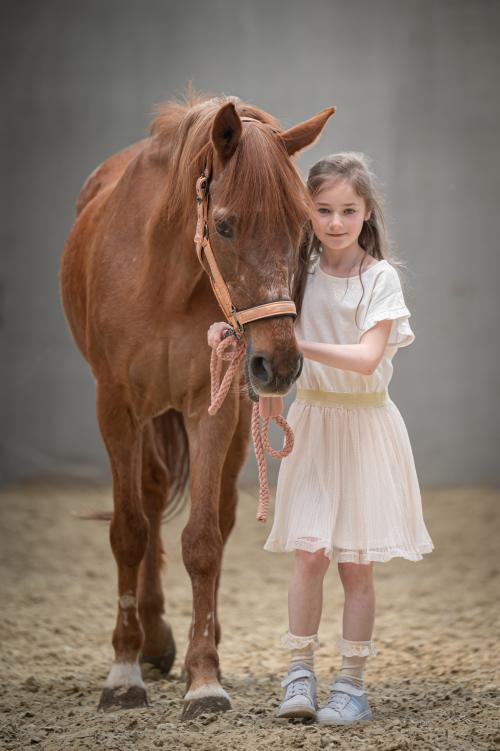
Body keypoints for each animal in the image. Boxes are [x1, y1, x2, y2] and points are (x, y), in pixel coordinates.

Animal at [61, 95, 336, 724]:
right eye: (225, 225)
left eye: (303, 229)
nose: (278, 364)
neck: (162, 274)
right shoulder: (115, 405)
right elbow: (128, 532)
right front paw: (123, 673)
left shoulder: (209, 410)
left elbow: (204, 540)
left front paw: (204, 679)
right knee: (148, 498)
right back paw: (153, 641)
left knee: (211, 514)